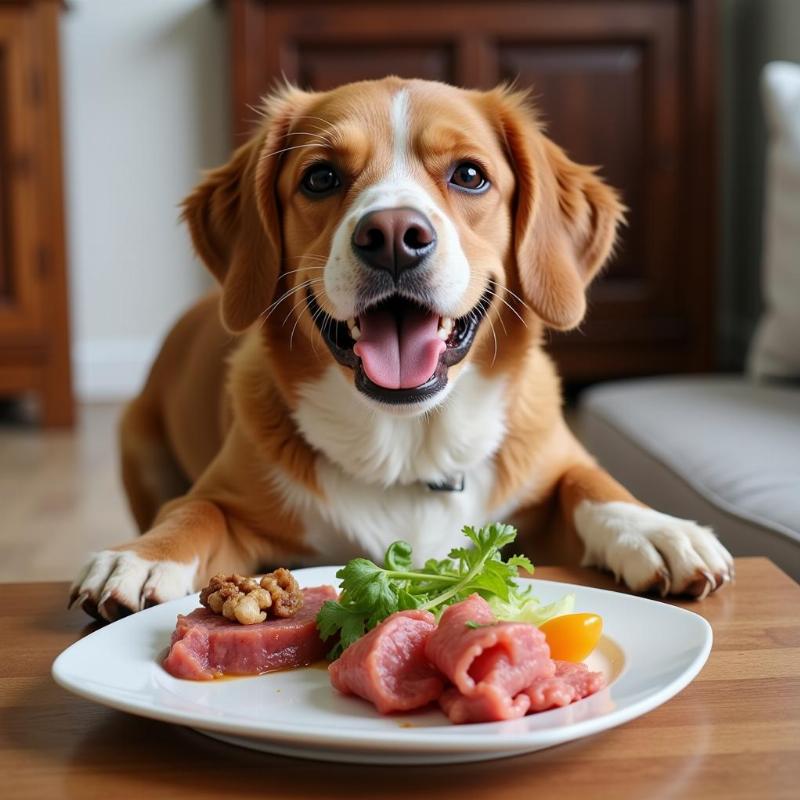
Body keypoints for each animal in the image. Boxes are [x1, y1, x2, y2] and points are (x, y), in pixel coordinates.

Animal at [67, 78, 732, 620]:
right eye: (320, 177)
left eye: (470, 174)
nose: (392, 236)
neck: (407, 448)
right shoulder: (227, 495)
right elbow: (196, 510)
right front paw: (145, 556)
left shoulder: (552, 467)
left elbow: (589, 482)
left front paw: (653, 528)